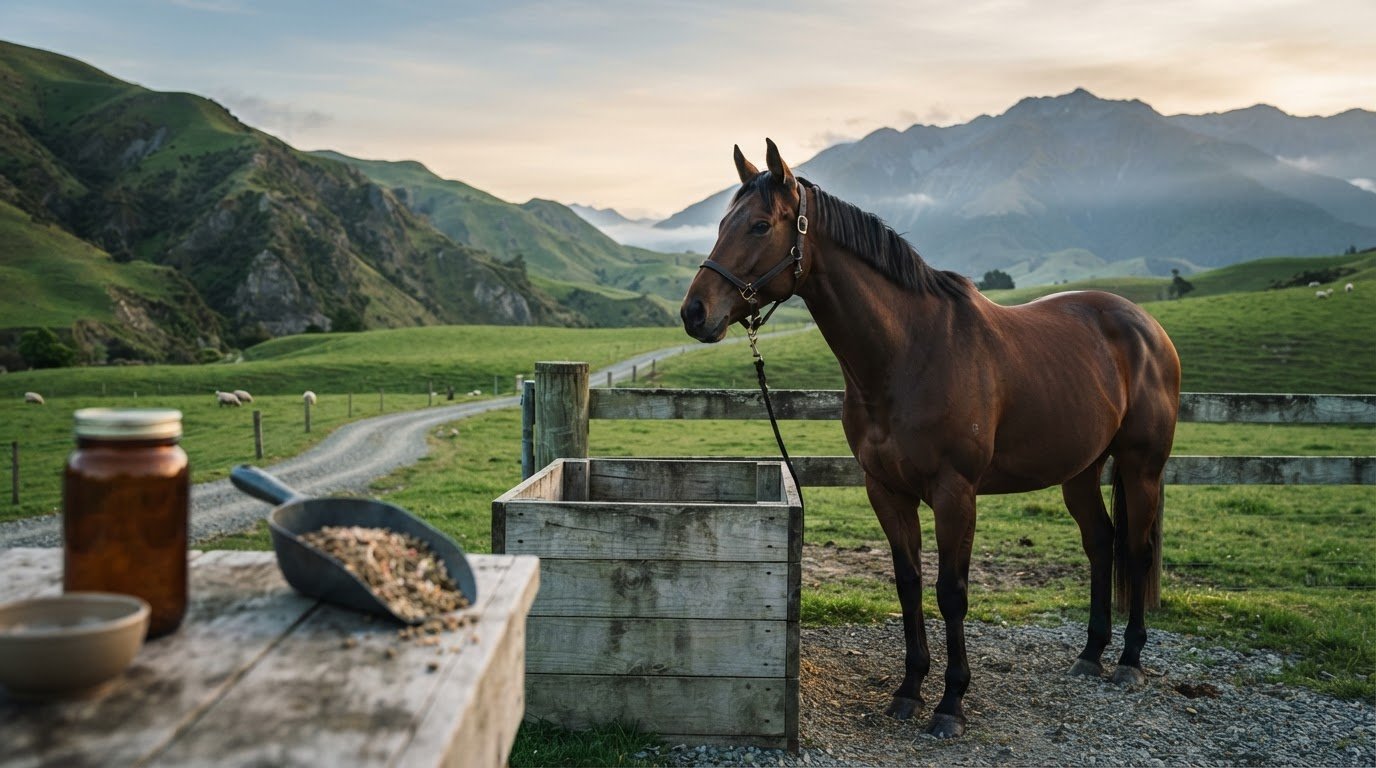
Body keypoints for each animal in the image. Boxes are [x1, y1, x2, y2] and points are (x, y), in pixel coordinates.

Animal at [680, 139, 1180, 738]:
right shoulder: (885, 490)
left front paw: (950, 702)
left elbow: (951, 593)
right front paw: (909, 689)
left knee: (1136, 549)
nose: (695, 312)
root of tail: (1148, 328)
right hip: (1079, 471)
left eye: (758, 226)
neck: (907, 353)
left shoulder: (954, 493)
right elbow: (909, 583)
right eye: (721, 224)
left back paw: (1128, 659)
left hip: (1140, 467)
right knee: (1101, 543)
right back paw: (1090, 654)